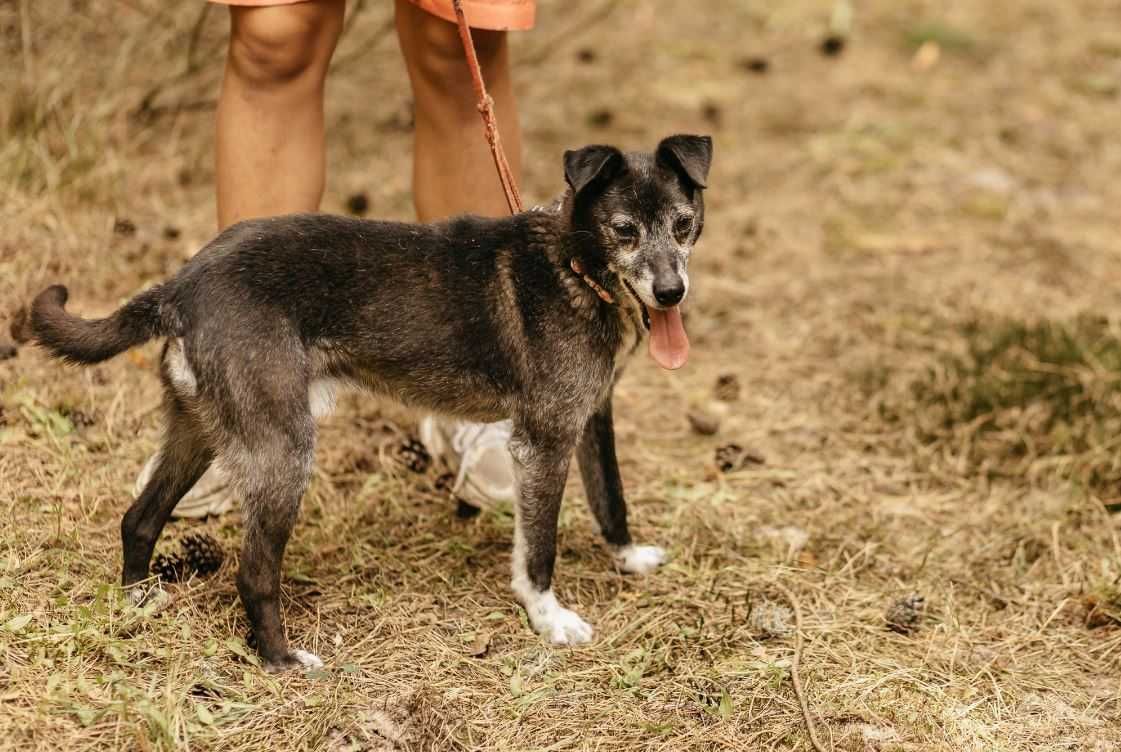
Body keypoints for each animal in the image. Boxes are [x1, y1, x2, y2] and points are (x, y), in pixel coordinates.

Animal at [30, 133, 712, 672]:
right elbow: (538, 547)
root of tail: (180, 284)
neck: (575, 262)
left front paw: (628, 557)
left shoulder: (592, 416)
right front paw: (548, 618)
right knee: (253, 572)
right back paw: (282, 660)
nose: (671, 293)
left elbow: (611, 497)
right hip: (283, 451)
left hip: (198, 430)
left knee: (140, 517)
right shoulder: (542, 442)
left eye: (683, 223)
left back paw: (137, 603)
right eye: (625, 231)